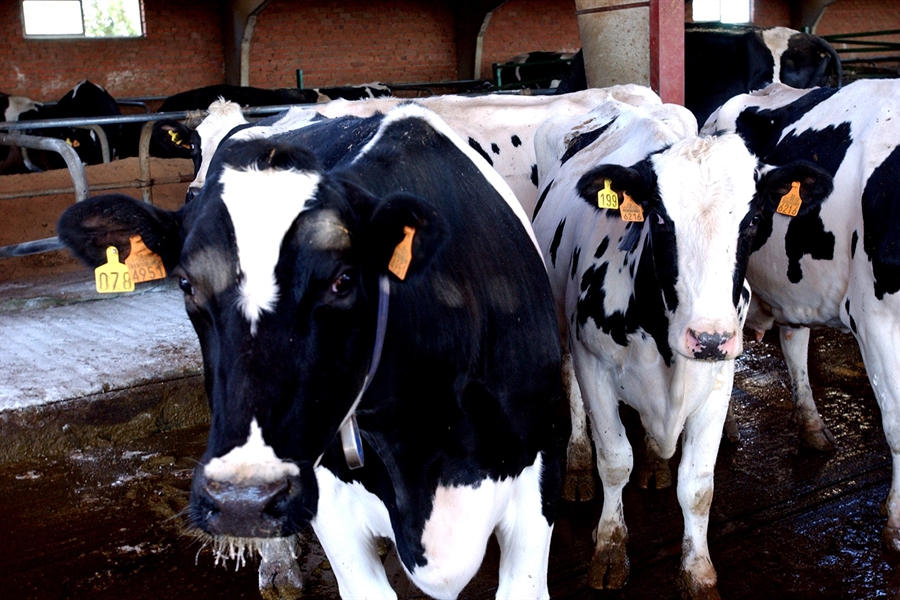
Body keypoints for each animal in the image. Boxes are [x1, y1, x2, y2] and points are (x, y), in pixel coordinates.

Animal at [532, 97, 832, 596]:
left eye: (754, 220)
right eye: (658, 218)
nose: (709, 337)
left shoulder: (719, 379)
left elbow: (697, 484)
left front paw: (697, 571)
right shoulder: (595, 364)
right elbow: (614, 460)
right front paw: (609, 546)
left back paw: (656, 459)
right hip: (560, 317)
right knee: (568, 382)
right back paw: (577, 462)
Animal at [708, 79, 900, 552]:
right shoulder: (874, 317)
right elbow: (896, 424)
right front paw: (896, 523)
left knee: (793, 339)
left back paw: (811, 426)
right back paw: (727, 428)